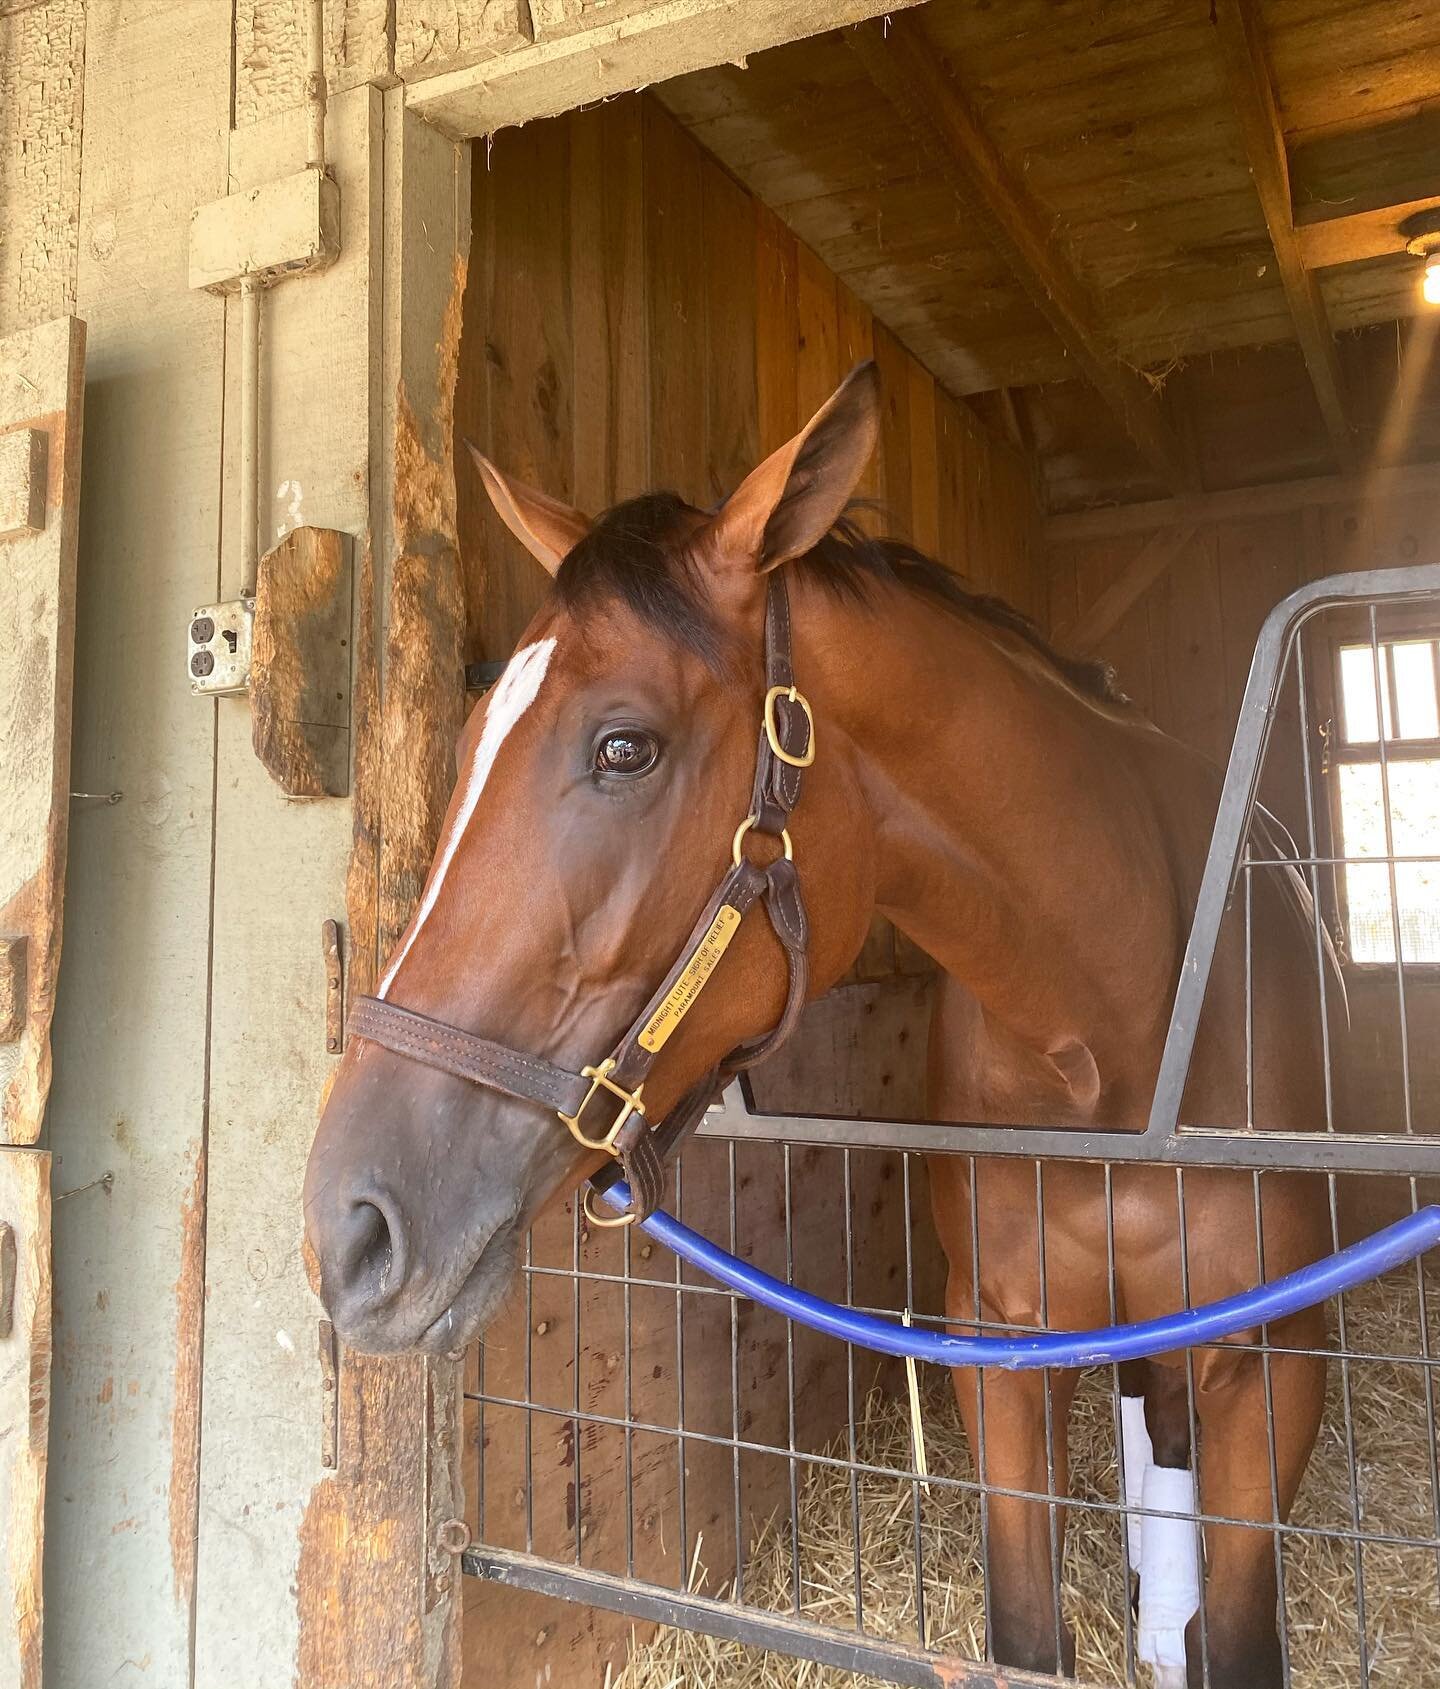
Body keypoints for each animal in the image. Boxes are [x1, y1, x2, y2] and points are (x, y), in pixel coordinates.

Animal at [303, 363, 1323, 1682]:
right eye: (471, 741)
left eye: (624, 746)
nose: (348, 1229)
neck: (1112, 1039)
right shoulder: (1003, 1350)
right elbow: (1024, 1632)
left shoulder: (1274, 1364)